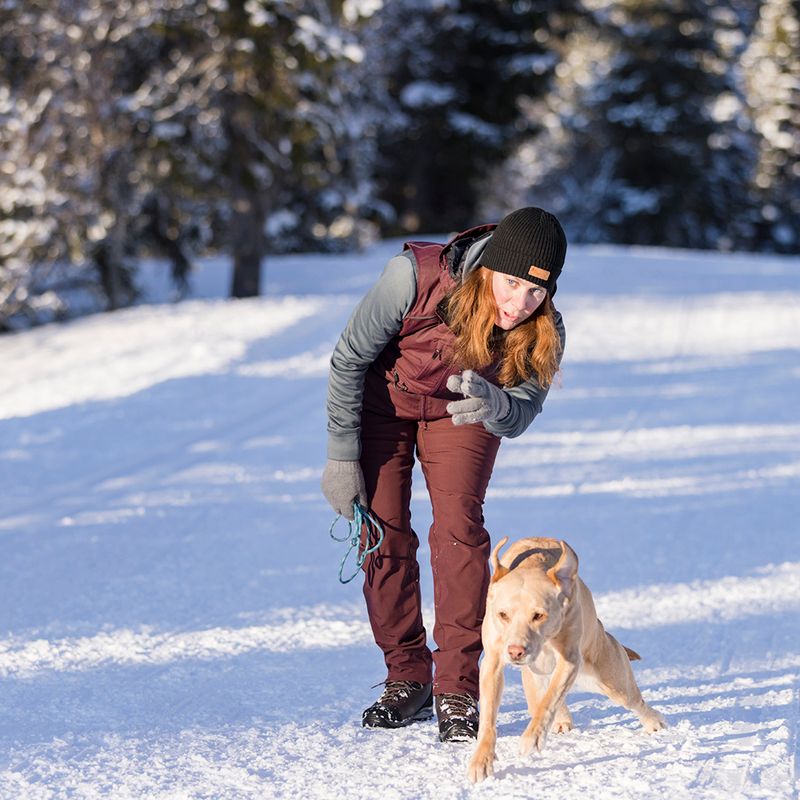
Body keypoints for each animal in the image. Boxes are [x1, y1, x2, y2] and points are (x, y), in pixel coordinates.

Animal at [466, 536, 664, 784]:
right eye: (503, 615)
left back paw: (654, 722)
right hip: (537, 678)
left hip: (610, 681)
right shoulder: (492, 663)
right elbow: (489, 717)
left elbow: (550, 700)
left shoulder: (569, 660)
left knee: (634, 701)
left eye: (538, 615)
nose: (515, 651)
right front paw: (481, 759)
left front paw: (532, 737)